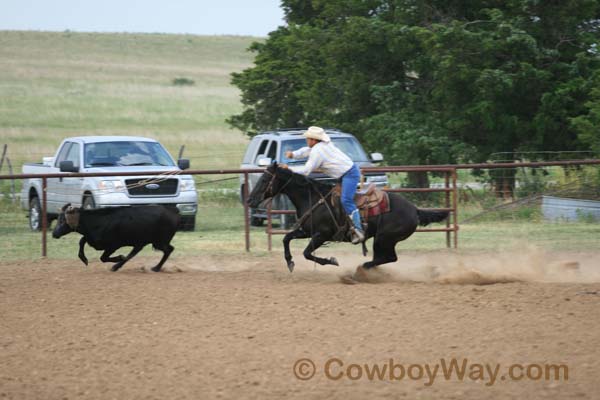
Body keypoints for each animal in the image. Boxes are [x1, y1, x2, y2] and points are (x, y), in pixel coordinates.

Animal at [246, 162, 448, 272]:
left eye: (265, 179)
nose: (249, 200)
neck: (314, 198)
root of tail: (414, 209)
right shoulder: (307, 231)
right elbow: (287, 238)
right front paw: (289, 262)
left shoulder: (322, 234)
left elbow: (307, 253)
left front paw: (331, 261)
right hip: (384, 240)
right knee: (387, 258)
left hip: (384, 239)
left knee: (389, 258)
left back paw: (361, 269)